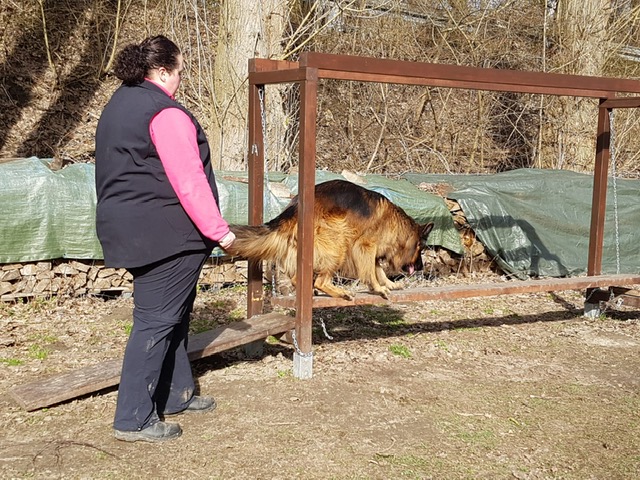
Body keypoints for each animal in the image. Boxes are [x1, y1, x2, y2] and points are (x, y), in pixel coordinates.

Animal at [226, 180, 436, 300]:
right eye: (421, 249)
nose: (420, 267)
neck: (395, 224)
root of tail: (294, 208)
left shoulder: (368, 250)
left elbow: (378, 270)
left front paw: (389, 284)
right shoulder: (364, 246)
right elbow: (371, 271)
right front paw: (378, 288)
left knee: (296, 278)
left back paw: (310, 291)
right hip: (338, 242)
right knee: (320, 280)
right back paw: (338, 292)